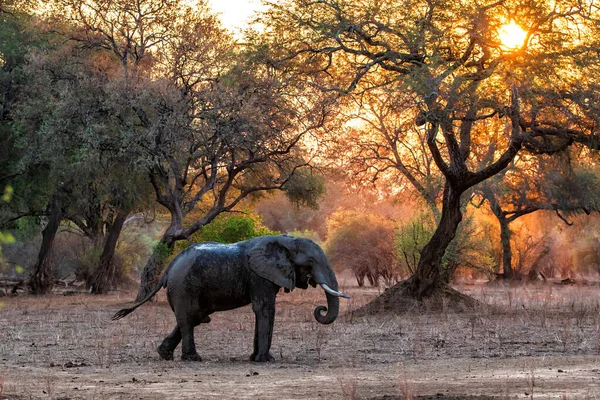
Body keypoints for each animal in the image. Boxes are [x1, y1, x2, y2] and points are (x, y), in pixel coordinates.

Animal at [111, 234, 352, 362]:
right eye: (310, 262)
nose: (320, 309)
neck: (286, 241)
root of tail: (169, 268)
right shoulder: (259, 275)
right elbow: (265, 309)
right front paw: (265, 360)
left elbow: (263, 310)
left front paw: (255, 359)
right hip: (184, 287)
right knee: (189, 319)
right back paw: (193, 359)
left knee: (193, 317)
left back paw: (164, 355)